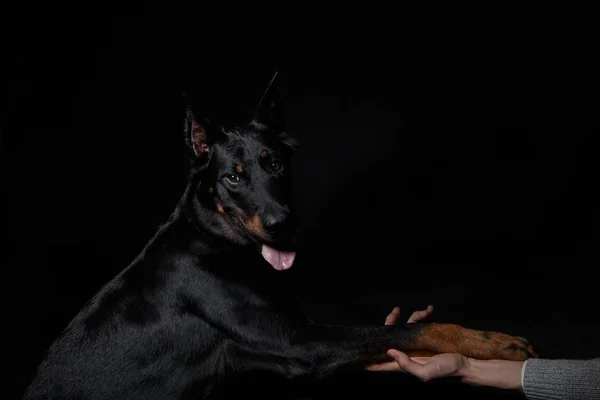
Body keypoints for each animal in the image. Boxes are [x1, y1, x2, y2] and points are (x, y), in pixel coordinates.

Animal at [23, 72, 536, 400]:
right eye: (233, 177)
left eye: (275, 164)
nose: (280, 224)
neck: (217, 242)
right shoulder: (297, 342)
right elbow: (410, 328)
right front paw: (494, 342)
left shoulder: (288, 347)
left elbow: (391, 332)